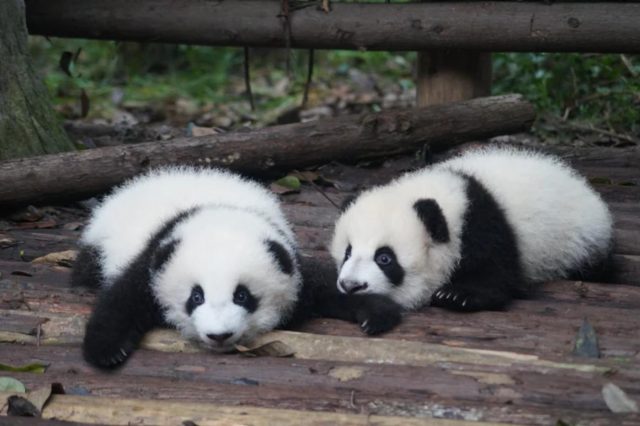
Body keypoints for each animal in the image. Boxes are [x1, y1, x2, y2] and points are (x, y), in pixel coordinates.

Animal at [72, 167, 303, 369]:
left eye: (242, 296)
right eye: (196, 297)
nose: (219, 336)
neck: (217, 212)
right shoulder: (155, 259)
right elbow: (123, 299)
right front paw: (107, 351)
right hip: (99, 245)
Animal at [329, 146, 613, 332]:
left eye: (385, 258)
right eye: (347, 252)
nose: (351, 286)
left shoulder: (483, 226)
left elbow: (497, 273)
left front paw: (457, 295)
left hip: (580, 242)